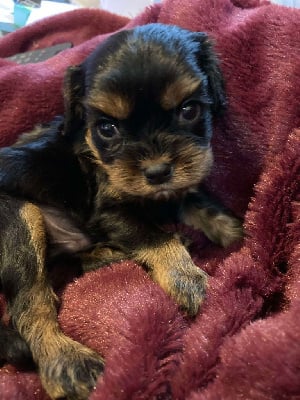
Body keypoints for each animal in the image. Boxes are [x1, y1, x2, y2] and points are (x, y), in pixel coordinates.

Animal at [0, 23, 243, 398]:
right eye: (107, 128)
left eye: (189, 110)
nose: (157, 172)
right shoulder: (109, 212)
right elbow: (155, 238)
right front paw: (186, 278)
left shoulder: (175, 186)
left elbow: (195, 199)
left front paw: (232, 230)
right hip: (20, 217)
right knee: (30, 304)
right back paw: (68, 362)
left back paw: (113, 255)